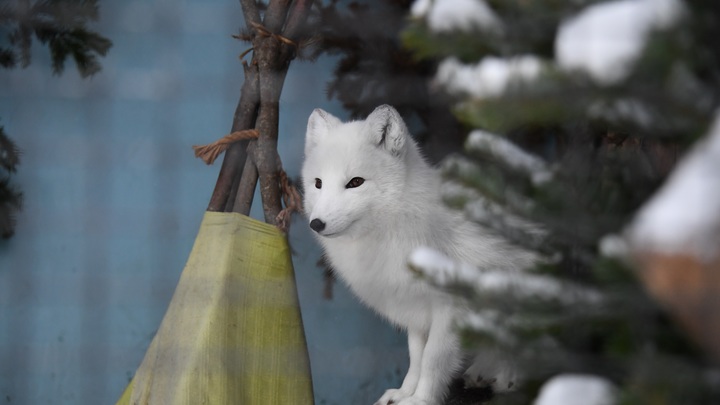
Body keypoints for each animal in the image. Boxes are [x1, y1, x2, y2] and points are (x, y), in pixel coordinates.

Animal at [300, 105, 536, 402]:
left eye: (355, 182)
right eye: (318, 183)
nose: (316, 224)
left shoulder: (451, 309)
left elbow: (433, 359)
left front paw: (422, 399)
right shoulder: (413, 307)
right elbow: (416, 356)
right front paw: (403, 393)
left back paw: (510, 378)